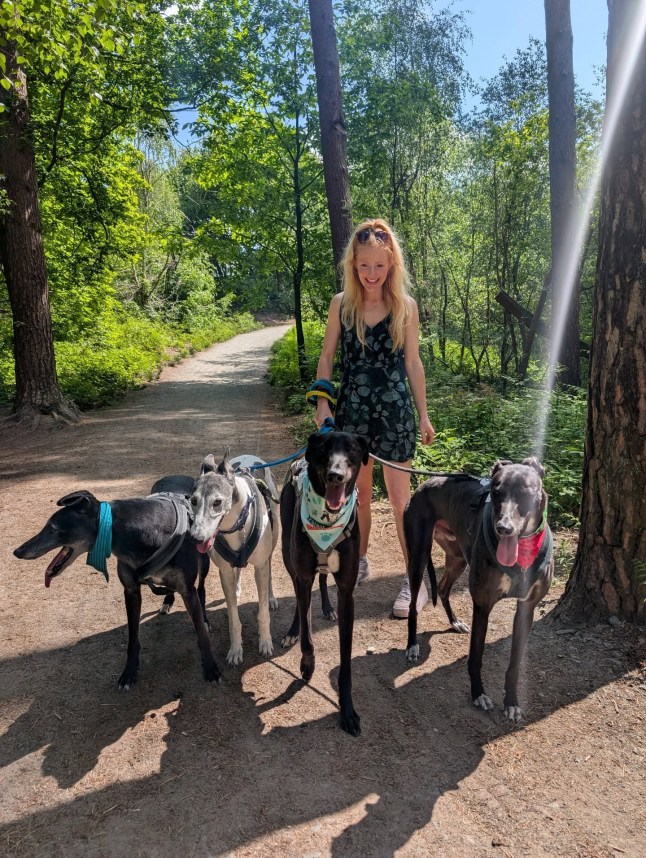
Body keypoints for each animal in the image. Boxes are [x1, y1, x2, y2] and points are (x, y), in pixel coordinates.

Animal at [13, 484, 220, 689]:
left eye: (53, 528)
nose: (17, 551)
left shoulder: (187, 589)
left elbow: (201, 635)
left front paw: (211, 667)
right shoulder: (131, 591)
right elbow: (133, 638)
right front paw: (129, 673)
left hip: (204, 561)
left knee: (201, 589)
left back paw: (205, 618)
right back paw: (167, 601)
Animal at [188, 453, 279, 666]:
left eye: (217, 502)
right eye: (193, 501)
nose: (196, 537)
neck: (236, 523)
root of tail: (250, 457)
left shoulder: (260, 567)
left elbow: (263, 612)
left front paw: (265, 642)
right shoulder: (225, 571)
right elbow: (233, 619)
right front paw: (236, 650)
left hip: (274, 538)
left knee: (270, 568)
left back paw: (272, 598)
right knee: (238, 568)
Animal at [280, 429, 369, 736]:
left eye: (352, 449)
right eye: (323, 448)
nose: (335, 475)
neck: (327, 522)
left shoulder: (346, 592)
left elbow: (346, 660)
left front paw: (348, 710)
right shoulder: (303, 574)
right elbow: (308, 636)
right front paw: (307, 664)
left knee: (321, 578)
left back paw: (327, 608)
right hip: (287, 556)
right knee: (299, 597)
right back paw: (292, 630)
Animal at [403, 457, 554, 721]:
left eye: (526, 492)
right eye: (496, 491)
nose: (504, 528)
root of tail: (423, 485)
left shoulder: (526, 608)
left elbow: (515, 664)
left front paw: (511, 702)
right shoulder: (482, 605)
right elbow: (476, 657)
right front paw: (478, 694)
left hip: (458, 558)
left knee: (442, 588)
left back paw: (454, 622)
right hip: (419, 557)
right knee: (413, 605)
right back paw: (412, 646)